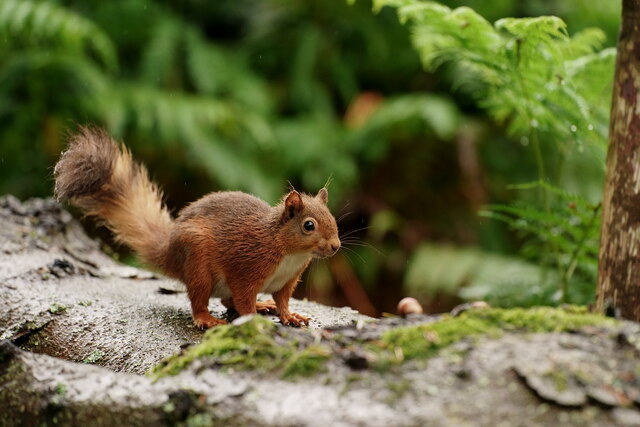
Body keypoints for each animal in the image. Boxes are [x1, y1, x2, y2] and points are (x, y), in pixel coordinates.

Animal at [53, 126, 342, 328]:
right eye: (308, 225)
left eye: (333, 219)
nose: (335, 246)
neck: (289, 254)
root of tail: (169, 251)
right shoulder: (246, 268)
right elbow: (243, 299)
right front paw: (252, 318)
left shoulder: (287, 281)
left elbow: (282, 301)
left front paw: (290, 316)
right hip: (197, 261)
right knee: (200, 300)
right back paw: (207, 319)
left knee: (226, 300)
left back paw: (263, 304)